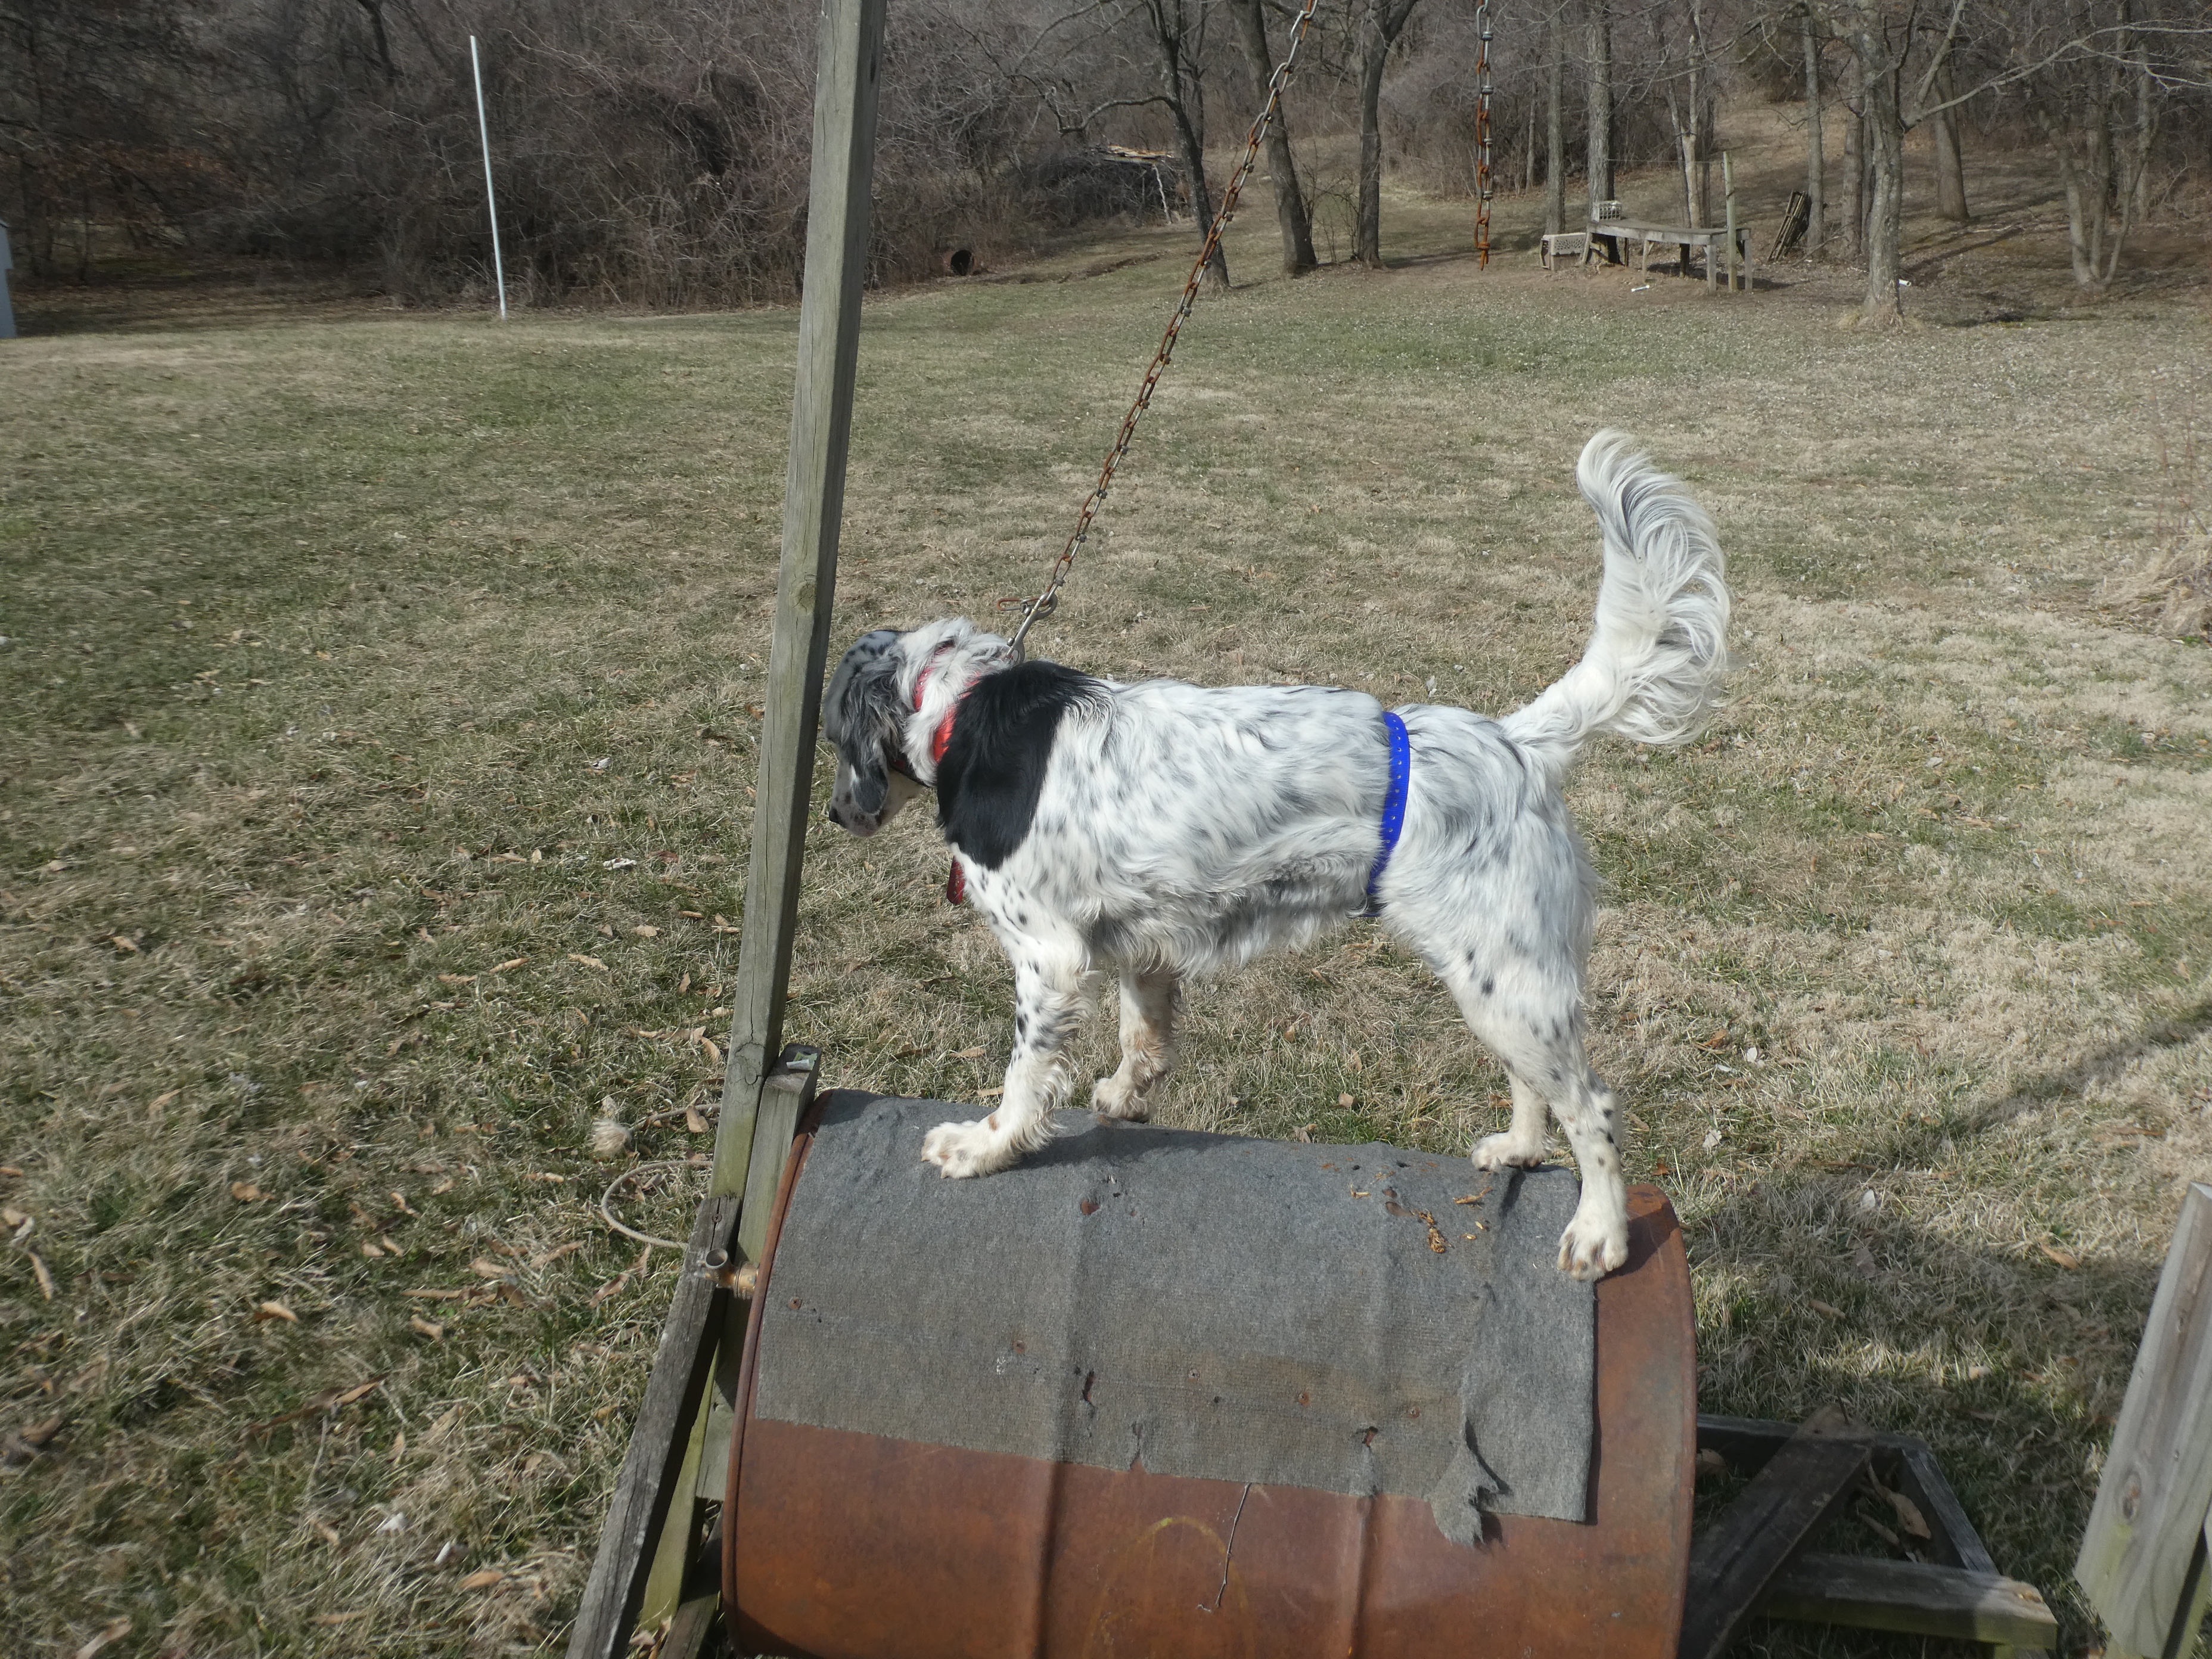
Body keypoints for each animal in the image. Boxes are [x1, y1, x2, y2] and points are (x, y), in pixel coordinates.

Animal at [822, 436, 1716, 1282]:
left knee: (1593, 1106)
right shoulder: (1140, 942)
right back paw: (1518, 1151)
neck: (962, 712)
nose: (834, 813)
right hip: (1498, 981)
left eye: (831, 739)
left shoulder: (1049, 957)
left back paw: (1599, 1232)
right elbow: (1143, 1039)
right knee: (1538, 1085)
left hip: (1508, 982)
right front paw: (1122, 1097)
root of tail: (1514, 741)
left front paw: (983, 1147)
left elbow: (1023, 1078)